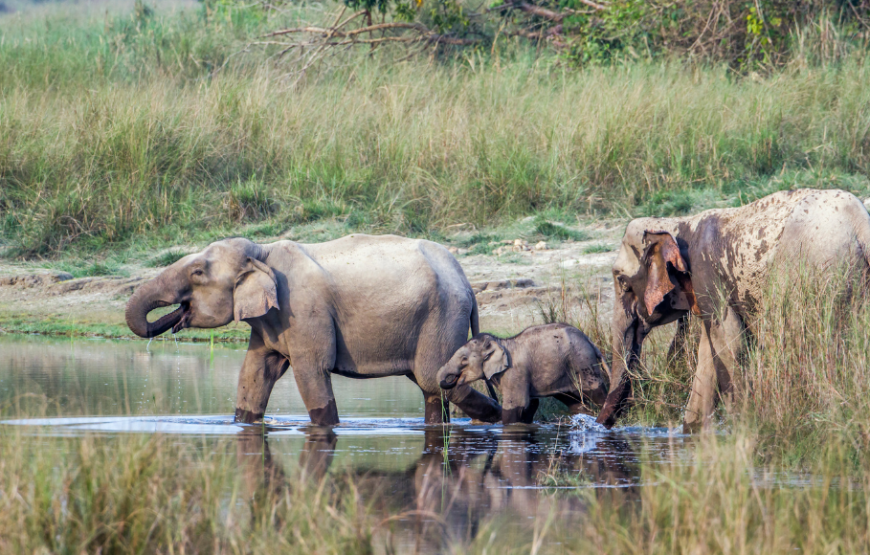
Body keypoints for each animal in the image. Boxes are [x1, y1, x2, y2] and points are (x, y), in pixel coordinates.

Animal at [125, 235, 500, 426]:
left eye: (198, 273)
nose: (173, 320)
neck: (262, 250)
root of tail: (465, 280)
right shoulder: (271, 322)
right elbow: (255, 374)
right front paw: (243, 423)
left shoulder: (304, 311)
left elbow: (311, 371)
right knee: (432, 388)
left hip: (441, 316)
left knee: (435, 380)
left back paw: (504, 419)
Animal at [440, 324, 608, 424]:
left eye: (464, 359)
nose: (451, 380)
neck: (501, 343)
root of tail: (590, 341)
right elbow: (531, 405)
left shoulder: (514, 373)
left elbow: (514, 407)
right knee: (574, 402)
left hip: (584, 363)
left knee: (597, 393)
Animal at [600, 189, 870, 432]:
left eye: (622, 282)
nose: (603, 425)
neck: (676, 223)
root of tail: (860, 222)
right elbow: (708, 354)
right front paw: (693, 432)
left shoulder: (707, 276)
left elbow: (730, 344)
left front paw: (741, 427)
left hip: (820, 279)